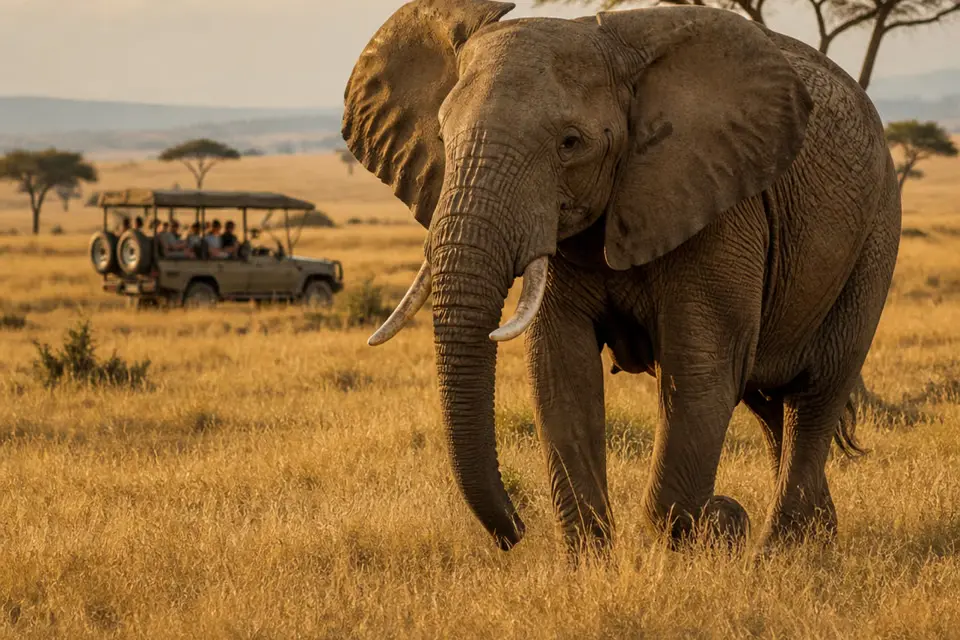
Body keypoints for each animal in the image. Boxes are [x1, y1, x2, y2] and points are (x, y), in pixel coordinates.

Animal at [341, 0, 902, 554]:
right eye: (441, 136)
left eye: (570, 143)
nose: (516, 532)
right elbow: (561, 369)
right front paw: (591, 558)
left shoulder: (720, 202)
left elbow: (699, 368)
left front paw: (691, 539)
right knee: (771, 407)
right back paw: (814, 539)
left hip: (875, 234)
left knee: (815, 394)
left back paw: (782, 549)